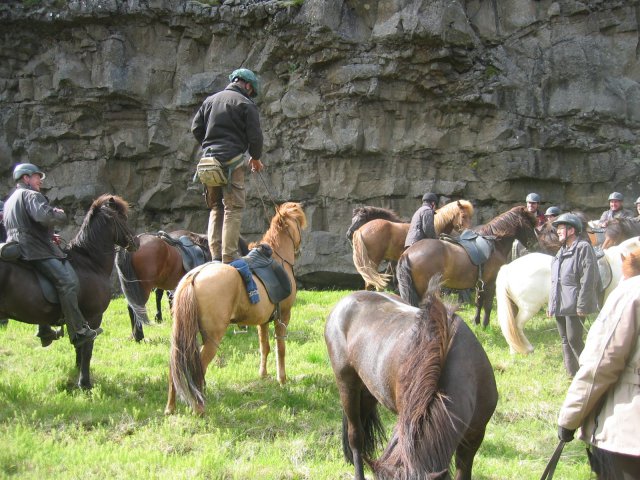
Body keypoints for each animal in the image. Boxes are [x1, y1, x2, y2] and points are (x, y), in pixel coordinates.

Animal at [0, 193, 136, 388]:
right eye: (122, 218)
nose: (136, 241)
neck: (90, 263)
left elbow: (78, 345)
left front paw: (77, 373)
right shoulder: (93, 317)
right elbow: (87, 348)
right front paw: (85, 383)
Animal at [164, 201, 306, 414]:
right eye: (298, 223)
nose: (299, 249)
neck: (277, 258)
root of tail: (194, 277)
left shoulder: (263, 321)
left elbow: (264, 347)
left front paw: (263, 375)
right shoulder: (283, 316)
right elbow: (280, 348)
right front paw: (282, 379)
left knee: (176, 368)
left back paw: (171, 407)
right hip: (212, 338)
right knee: (197, 368)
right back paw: (199, 407)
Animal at [398, 206, 536, 326]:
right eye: (530, 224)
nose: (534, 243)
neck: (495, 244)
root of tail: (407, 254)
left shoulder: (480, 284)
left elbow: (479, 302)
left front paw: (476, 322)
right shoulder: (491, 283)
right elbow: (488, 305)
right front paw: (485, 325)